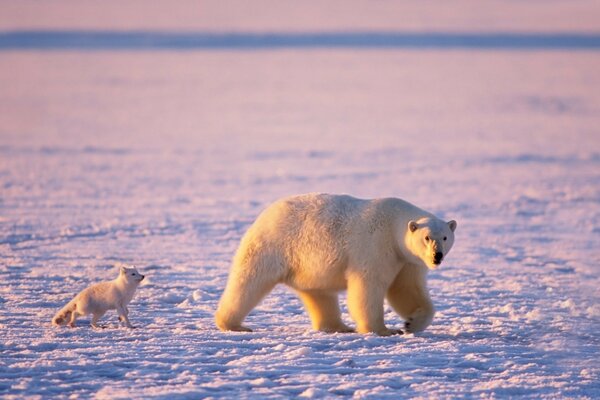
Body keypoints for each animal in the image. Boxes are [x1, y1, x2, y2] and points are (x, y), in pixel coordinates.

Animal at [216, 193, 454, 334]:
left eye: (445, 237)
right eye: (427, 238)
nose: (437, 256)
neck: (394, 224)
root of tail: (265, 214)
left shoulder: (407, 260)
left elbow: (406, 289)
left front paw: (411, 323)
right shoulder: (375, 245)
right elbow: (368, 286)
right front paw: (383, 330)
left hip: (308, 266)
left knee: (319, 294)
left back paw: (339, 326)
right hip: (273, 245)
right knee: (249, 282)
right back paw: (233, 324)